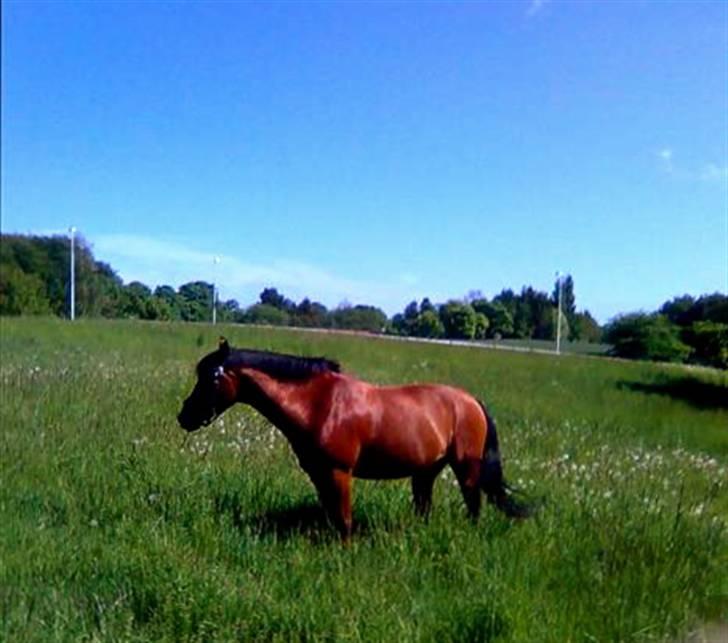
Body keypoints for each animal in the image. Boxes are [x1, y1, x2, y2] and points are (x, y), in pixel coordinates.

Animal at [176, 340, 528, 540]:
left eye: (210, 377)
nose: (184, 417)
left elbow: (343, 521)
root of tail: (470, 401)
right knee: (425, 507)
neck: (318, 404)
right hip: (426, 471)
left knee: (473, 505)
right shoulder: (319, 474)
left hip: (466, 468)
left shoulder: (338, 473)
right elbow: (331, 517)